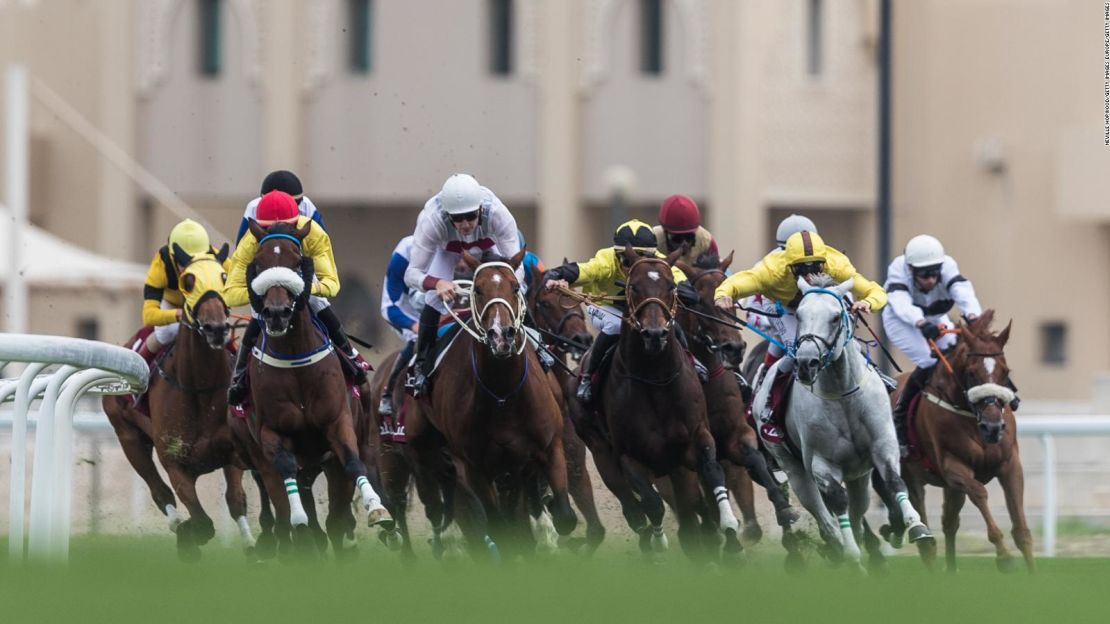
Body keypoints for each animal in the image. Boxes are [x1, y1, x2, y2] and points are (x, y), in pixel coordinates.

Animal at [102, 246, 254, 559]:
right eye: (188, 281)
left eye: (224, 276)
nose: (216, 328)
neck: (201, 391)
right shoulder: (175, 464)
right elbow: (202, 522)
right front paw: (187, 537)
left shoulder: (232, 454)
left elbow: (235, 500)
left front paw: (254, 550)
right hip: (129, 438)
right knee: (159, 492)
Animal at [234, 217, 390, 552]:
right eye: (258, 263)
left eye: (297, 262)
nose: (276, 313)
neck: (295, 358)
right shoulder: (270, 432)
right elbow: (285, 467)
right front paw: (298, 519)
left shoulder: (338, 422)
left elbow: (353, 463)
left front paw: (376, 510)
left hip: (362, 442)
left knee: (349, 496)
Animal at [568, 246, 741, 559]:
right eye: (633, 287)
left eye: (671, 286)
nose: (655, 333)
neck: (656, 380)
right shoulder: (630, 457)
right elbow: (652, 503)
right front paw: (658, 541)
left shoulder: (698, 437)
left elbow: (713, 473)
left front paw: (729, 528)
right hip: (600, 451)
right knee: (633, 508)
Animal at [759, 273, 932, 568]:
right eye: (800, 315)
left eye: (835, 317)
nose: (806, 363)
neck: (841, 395)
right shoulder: (821, 463)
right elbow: (837, 502)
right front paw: (850, 553)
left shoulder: (882, 447)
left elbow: (894, 481)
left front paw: (917, 526)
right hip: (793, 468)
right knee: (824, 517)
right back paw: (837, 547)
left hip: (858, 477)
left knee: (857, 512)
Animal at [879, 313, 1034, 572]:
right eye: (971, 372)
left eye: (1005, 371)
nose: (993, 427)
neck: (971, 416)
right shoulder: (953, 467)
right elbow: (980, 492)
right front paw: (1004, 556)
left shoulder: (1010, 464)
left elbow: (1021, 530)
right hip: (910, 477)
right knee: (927, 541)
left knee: (949, 522)